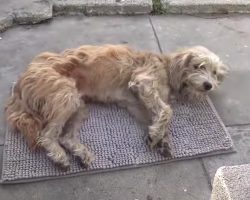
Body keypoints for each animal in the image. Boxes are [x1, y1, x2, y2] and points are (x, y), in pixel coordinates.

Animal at [5, 44, 229, 170]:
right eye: (198, 66)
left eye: (215, 73)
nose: (208, 85)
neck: (166, 66)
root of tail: (20, 82)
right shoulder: (143, 83)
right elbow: (167, 111)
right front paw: (159, 135)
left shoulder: (138, 103)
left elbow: (158, 117)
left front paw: (160, 139)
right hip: (66, 97)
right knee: (47, 136)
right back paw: (59, 157)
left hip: (79, 106)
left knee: (65, 137)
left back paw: (82, 154)